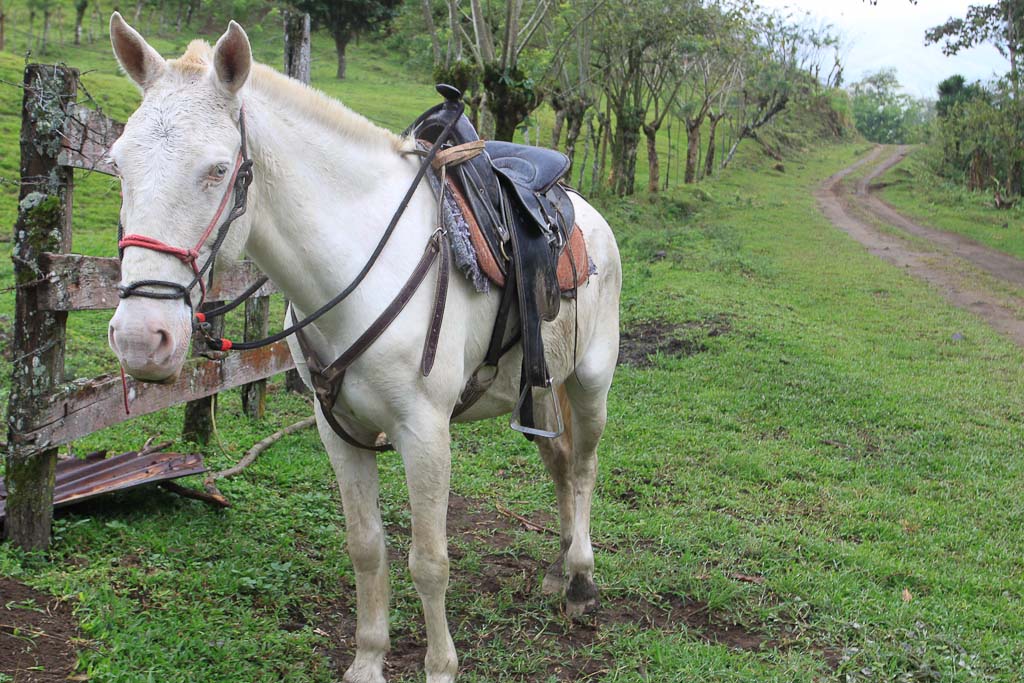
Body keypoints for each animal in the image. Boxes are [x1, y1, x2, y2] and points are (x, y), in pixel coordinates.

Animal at [105, 14, 621, 682]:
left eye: (218, 169)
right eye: (118, 166)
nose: (141, 338)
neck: (359, 261)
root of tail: (586, 212)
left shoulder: (425, 433)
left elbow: (429, 561)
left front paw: (439, 667)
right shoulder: (338, 429)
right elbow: (367, 547)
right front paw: (369, 659)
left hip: (590, 382)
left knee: (582, 467)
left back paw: (581, 580)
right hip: (539, 386)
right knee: (560, 464)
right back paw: (559, 569)